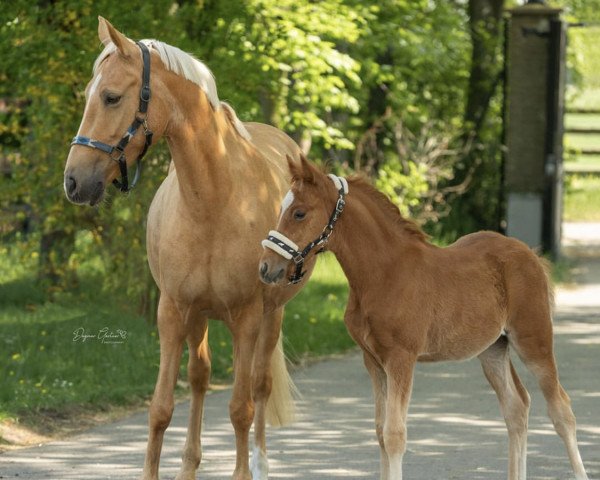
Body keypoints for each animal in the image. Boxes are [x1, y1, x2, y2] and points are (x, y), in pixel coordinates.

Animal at [64, 16, 314, 478]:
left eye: (111, 97)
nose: (73, 182)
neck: (213, 201)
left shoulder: (247, 318)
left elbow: (240, 408)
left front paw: (243, 471)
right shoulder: (173, 311)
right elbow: (162, 408)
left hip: (272, 314)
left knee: (260, 385)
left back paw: (260, 462)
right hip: (199, 315)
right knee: (199, 378)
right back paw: (190, 464)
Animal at [258, 155, 592, 480]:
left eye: (299, 213)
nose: (266, 267)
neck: (383, 274)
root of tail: (531, 254)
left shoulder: (401, 358)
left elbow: (394, 435)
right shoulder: (373, 361)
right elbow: (380, 432)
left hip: (533, 339)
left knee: (561, 409)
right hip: (493, 349)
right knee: (516, 407)